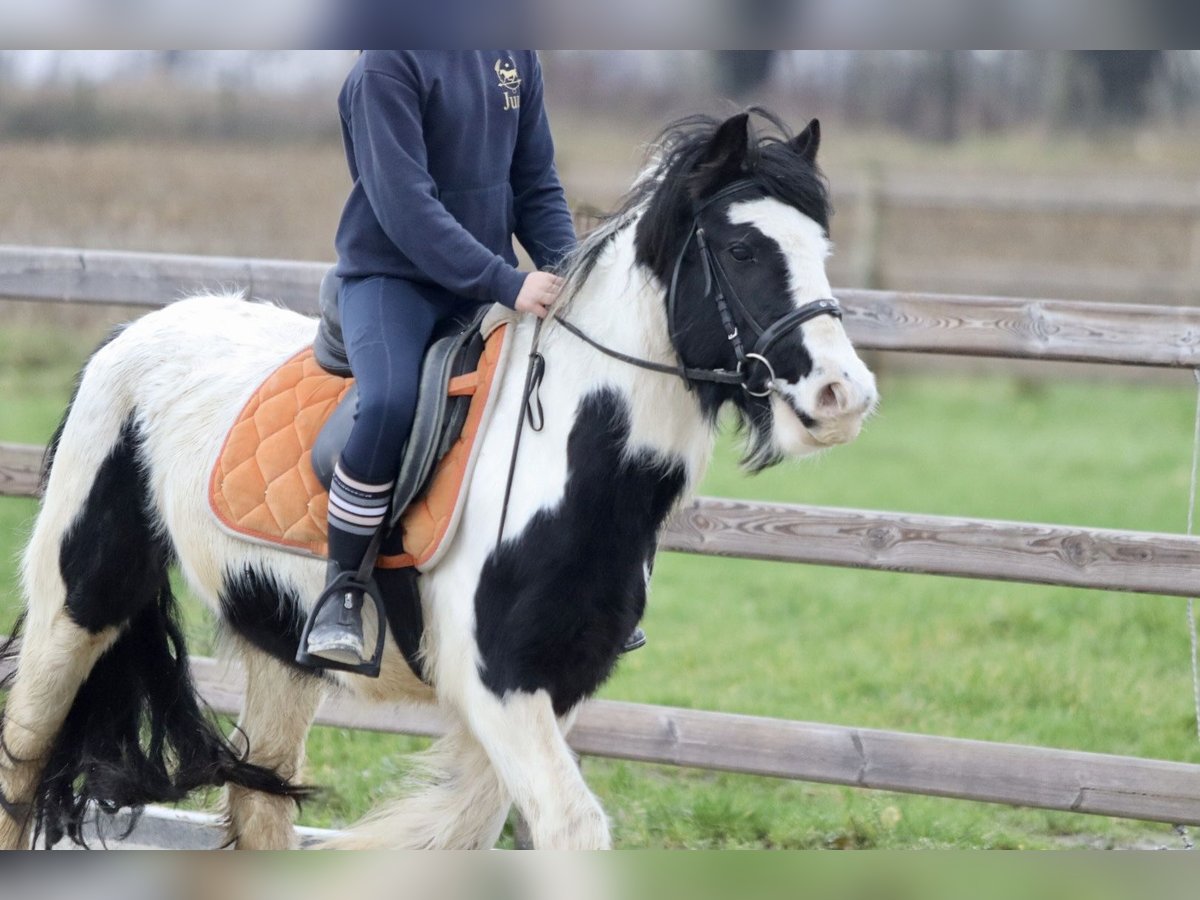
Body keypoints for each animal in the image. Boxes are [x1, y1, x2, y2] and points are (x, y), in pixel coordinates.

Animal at [2, 109, 883, 849]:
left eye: (820, 252)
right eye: (742, 250)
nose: (844, 396)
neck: (568, 463)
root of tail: (130, 335)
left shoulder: (555, 687)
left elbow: (474, 829)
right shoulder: (497, 684)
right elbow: (566, 828)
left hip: (281, 645)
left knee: (259, 805)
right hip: (75, 609)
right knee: (21, 762)